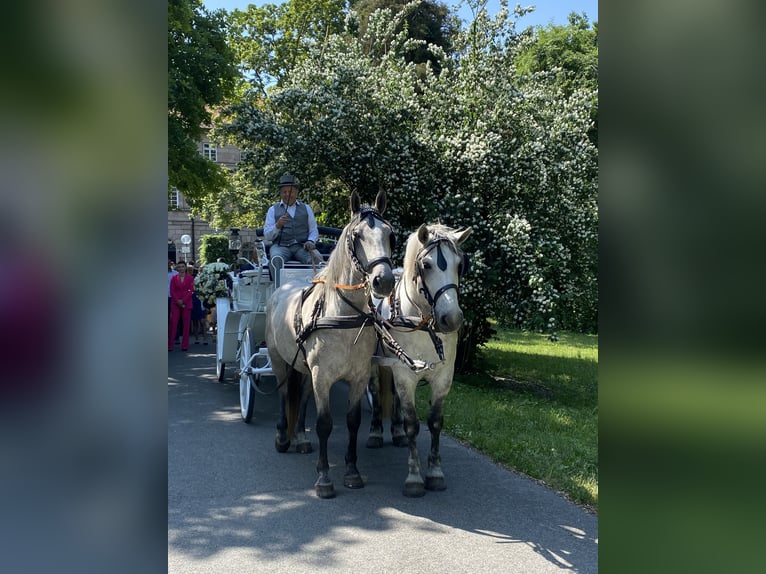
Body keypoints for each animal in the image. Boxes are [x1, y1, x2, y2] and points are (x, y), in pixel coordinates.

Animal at [266, 192, 396, 500]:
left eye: (390, 234)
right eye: (357, 236)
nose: (384, 280)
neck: (343, 315)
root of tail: (280, 290)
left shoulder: (358, 376)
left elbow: (352, 422)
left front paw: (352, 471)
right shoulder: (322, 376)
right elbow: (325, 424)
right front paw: (324, 477)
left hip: (303, 366)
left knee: (300, 396)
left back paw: (300, 437)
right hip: (279, 360)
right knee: (283, 394)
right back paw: (282, 436)